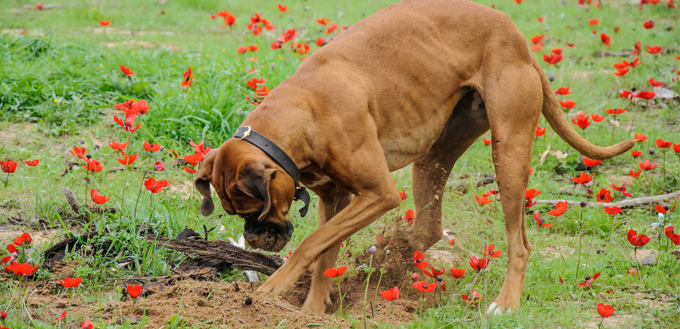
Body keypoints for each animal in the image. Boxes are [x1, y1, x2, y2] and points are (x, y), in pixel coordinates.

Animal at [194, 0, 636, 314]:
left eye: (256, 209)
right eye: (233, 213)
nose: (253, 238)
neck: (302, 114)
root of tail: (518, 40)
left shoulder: (378, 194)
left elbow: (311, 244)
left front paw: (275, 289)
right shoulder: (336, 198)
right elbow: (325, 253)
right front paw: (313, 310)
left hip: (508, 156)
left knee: (520, 243)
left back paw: (505, 303)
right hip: (434, 158)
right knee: (428, 228)